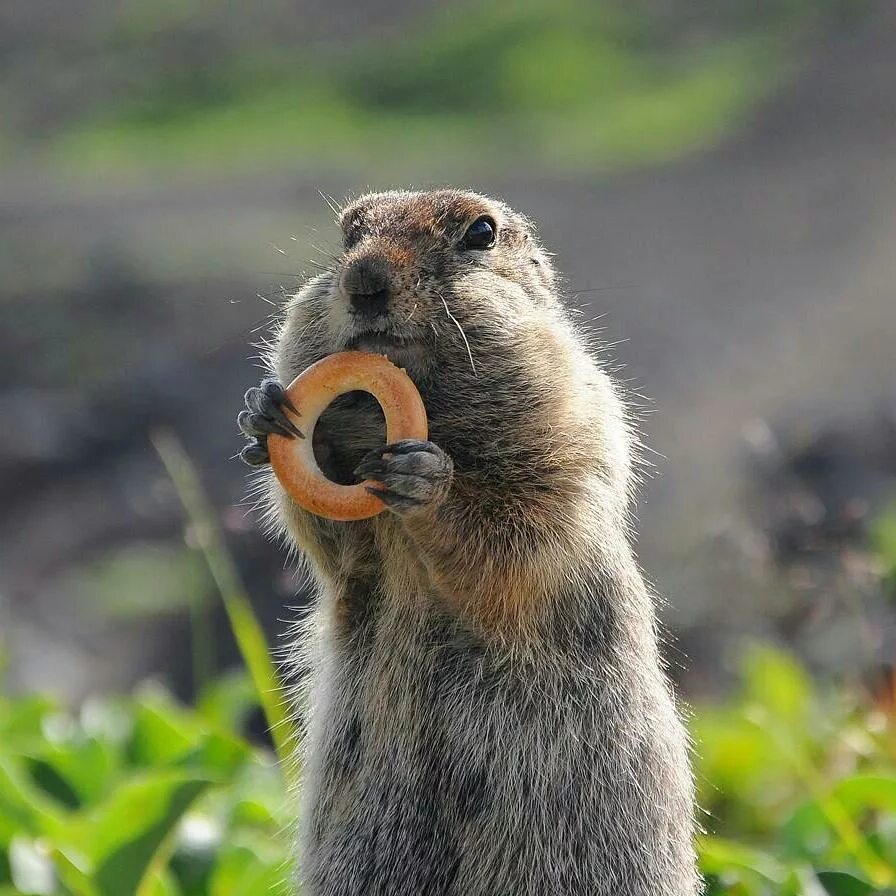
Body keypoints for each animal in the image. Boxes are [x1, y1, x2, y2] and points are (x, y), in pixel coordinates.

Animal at [238, 186, 700, 892]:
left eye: (480, 233)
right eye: (348, 232)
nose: (363, 278)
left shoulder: (573, 437)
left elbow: (517, 537)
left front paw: (427, 482)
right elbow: (338, 550)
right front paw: (268, 412)